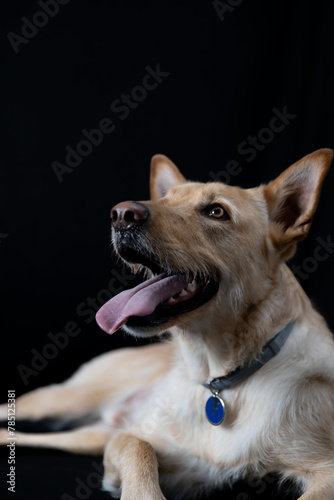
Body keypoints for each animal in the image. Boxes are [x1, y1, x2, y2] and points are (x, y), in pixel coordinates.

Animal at [0, 149, 334, 500]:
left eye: (216, 211)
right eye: (164, 200)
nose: (122, 214)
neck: (219, 379)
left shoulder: (325, 468)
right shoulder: (133, 440)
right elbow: (139, 448)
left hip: (85, 437)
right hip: (62, 400)